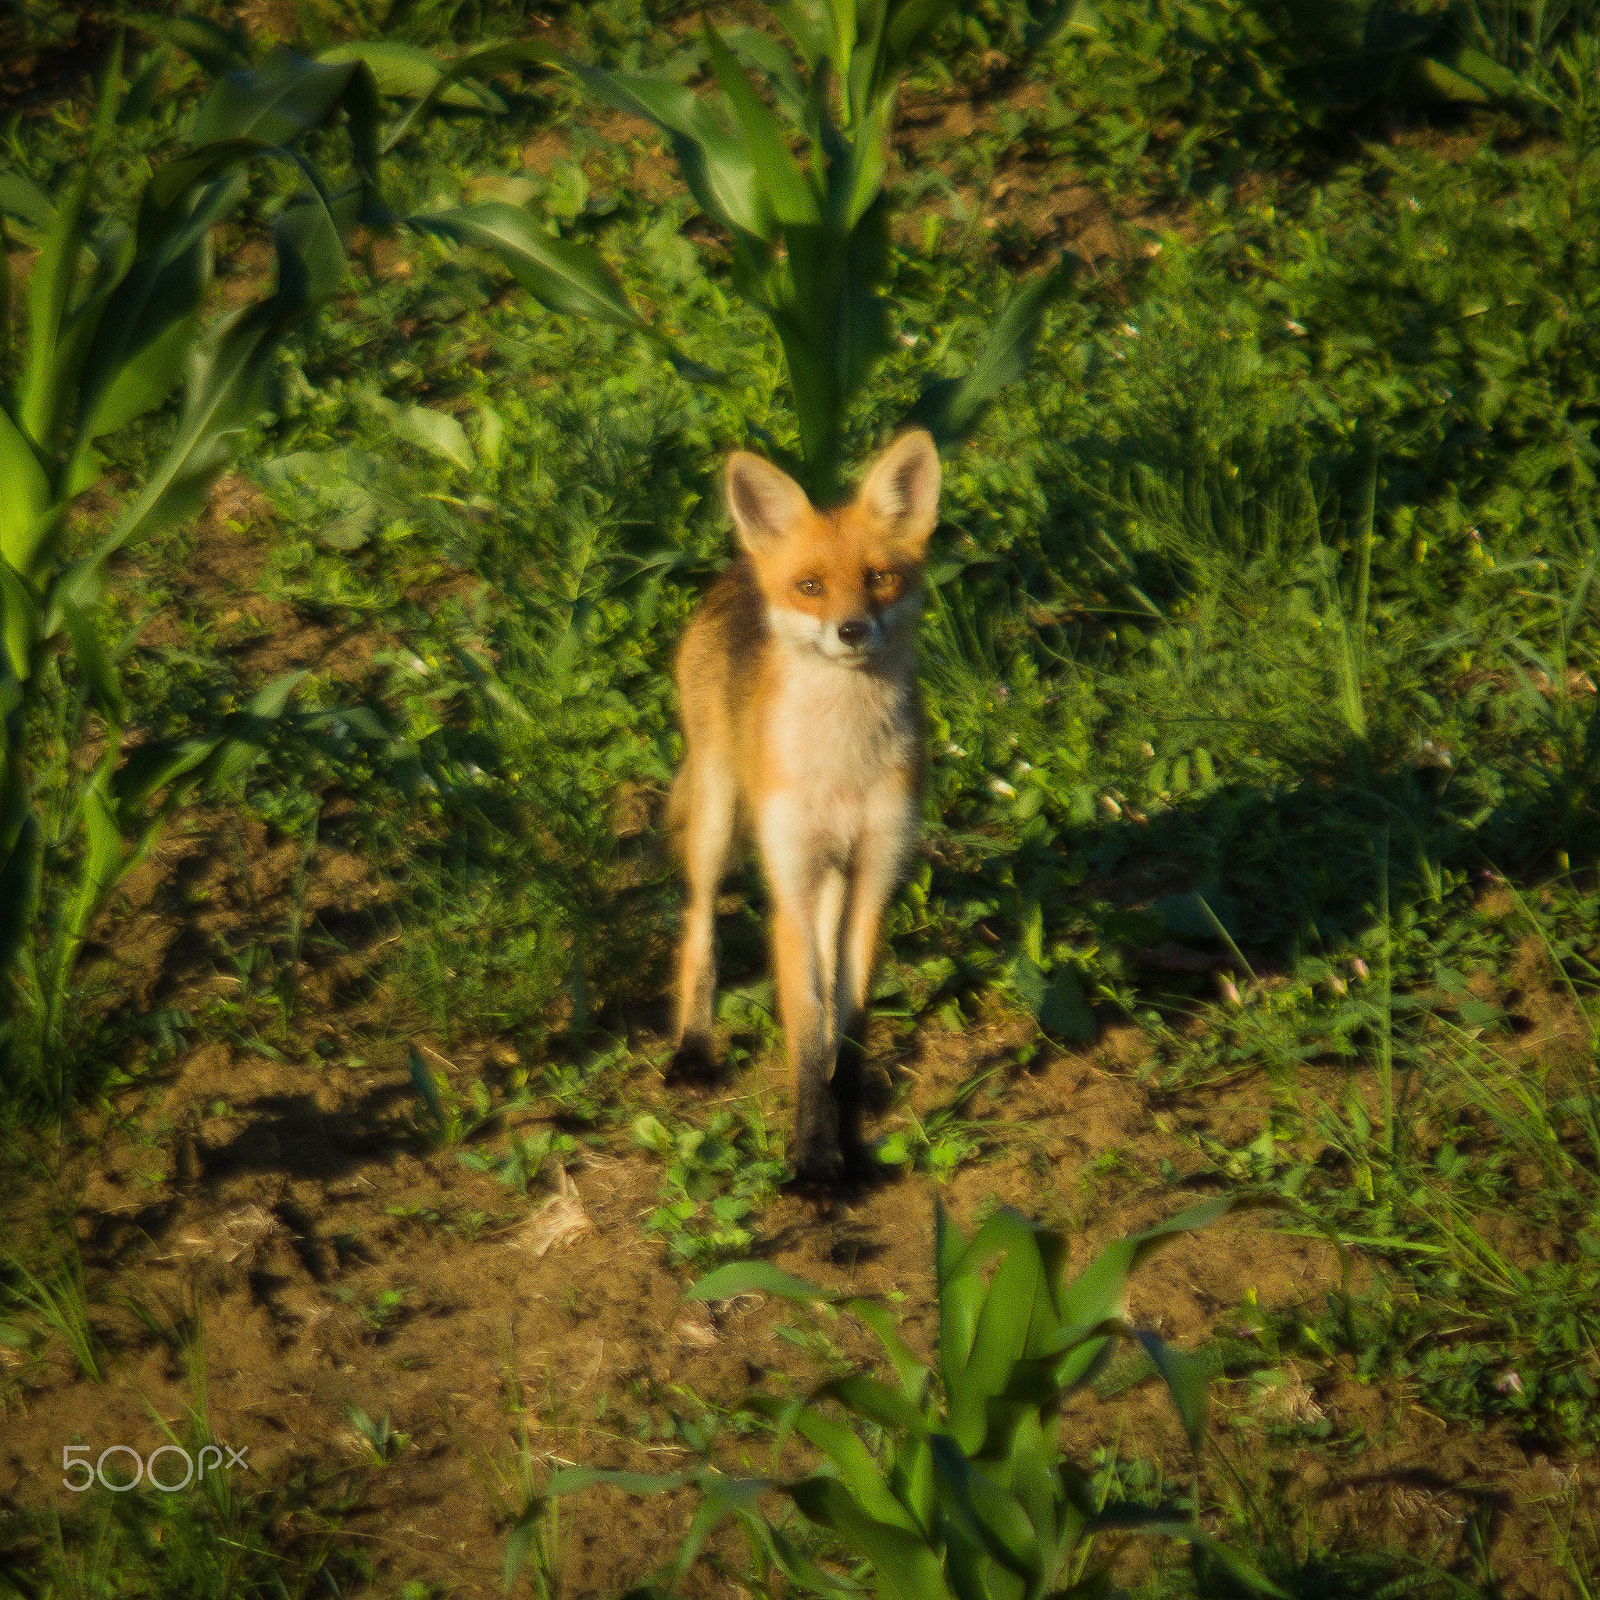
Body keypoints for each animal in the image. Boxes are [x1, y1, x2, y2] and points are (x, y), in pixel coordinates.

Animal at [667, 428, 942, 1184]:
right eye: (811, 586)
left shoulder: (874, 873)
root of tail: (738, 568)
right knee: (698, 928)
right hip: (718, 821)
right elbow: (809, 1035)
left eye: (880, 577)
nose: (851, 630)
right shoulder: (788, 880)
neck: (845, 766)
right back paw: (693, 1048)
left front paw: (848, 1129)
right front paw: (816, 1161)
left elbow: (847, 1028)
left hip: (832, 875)